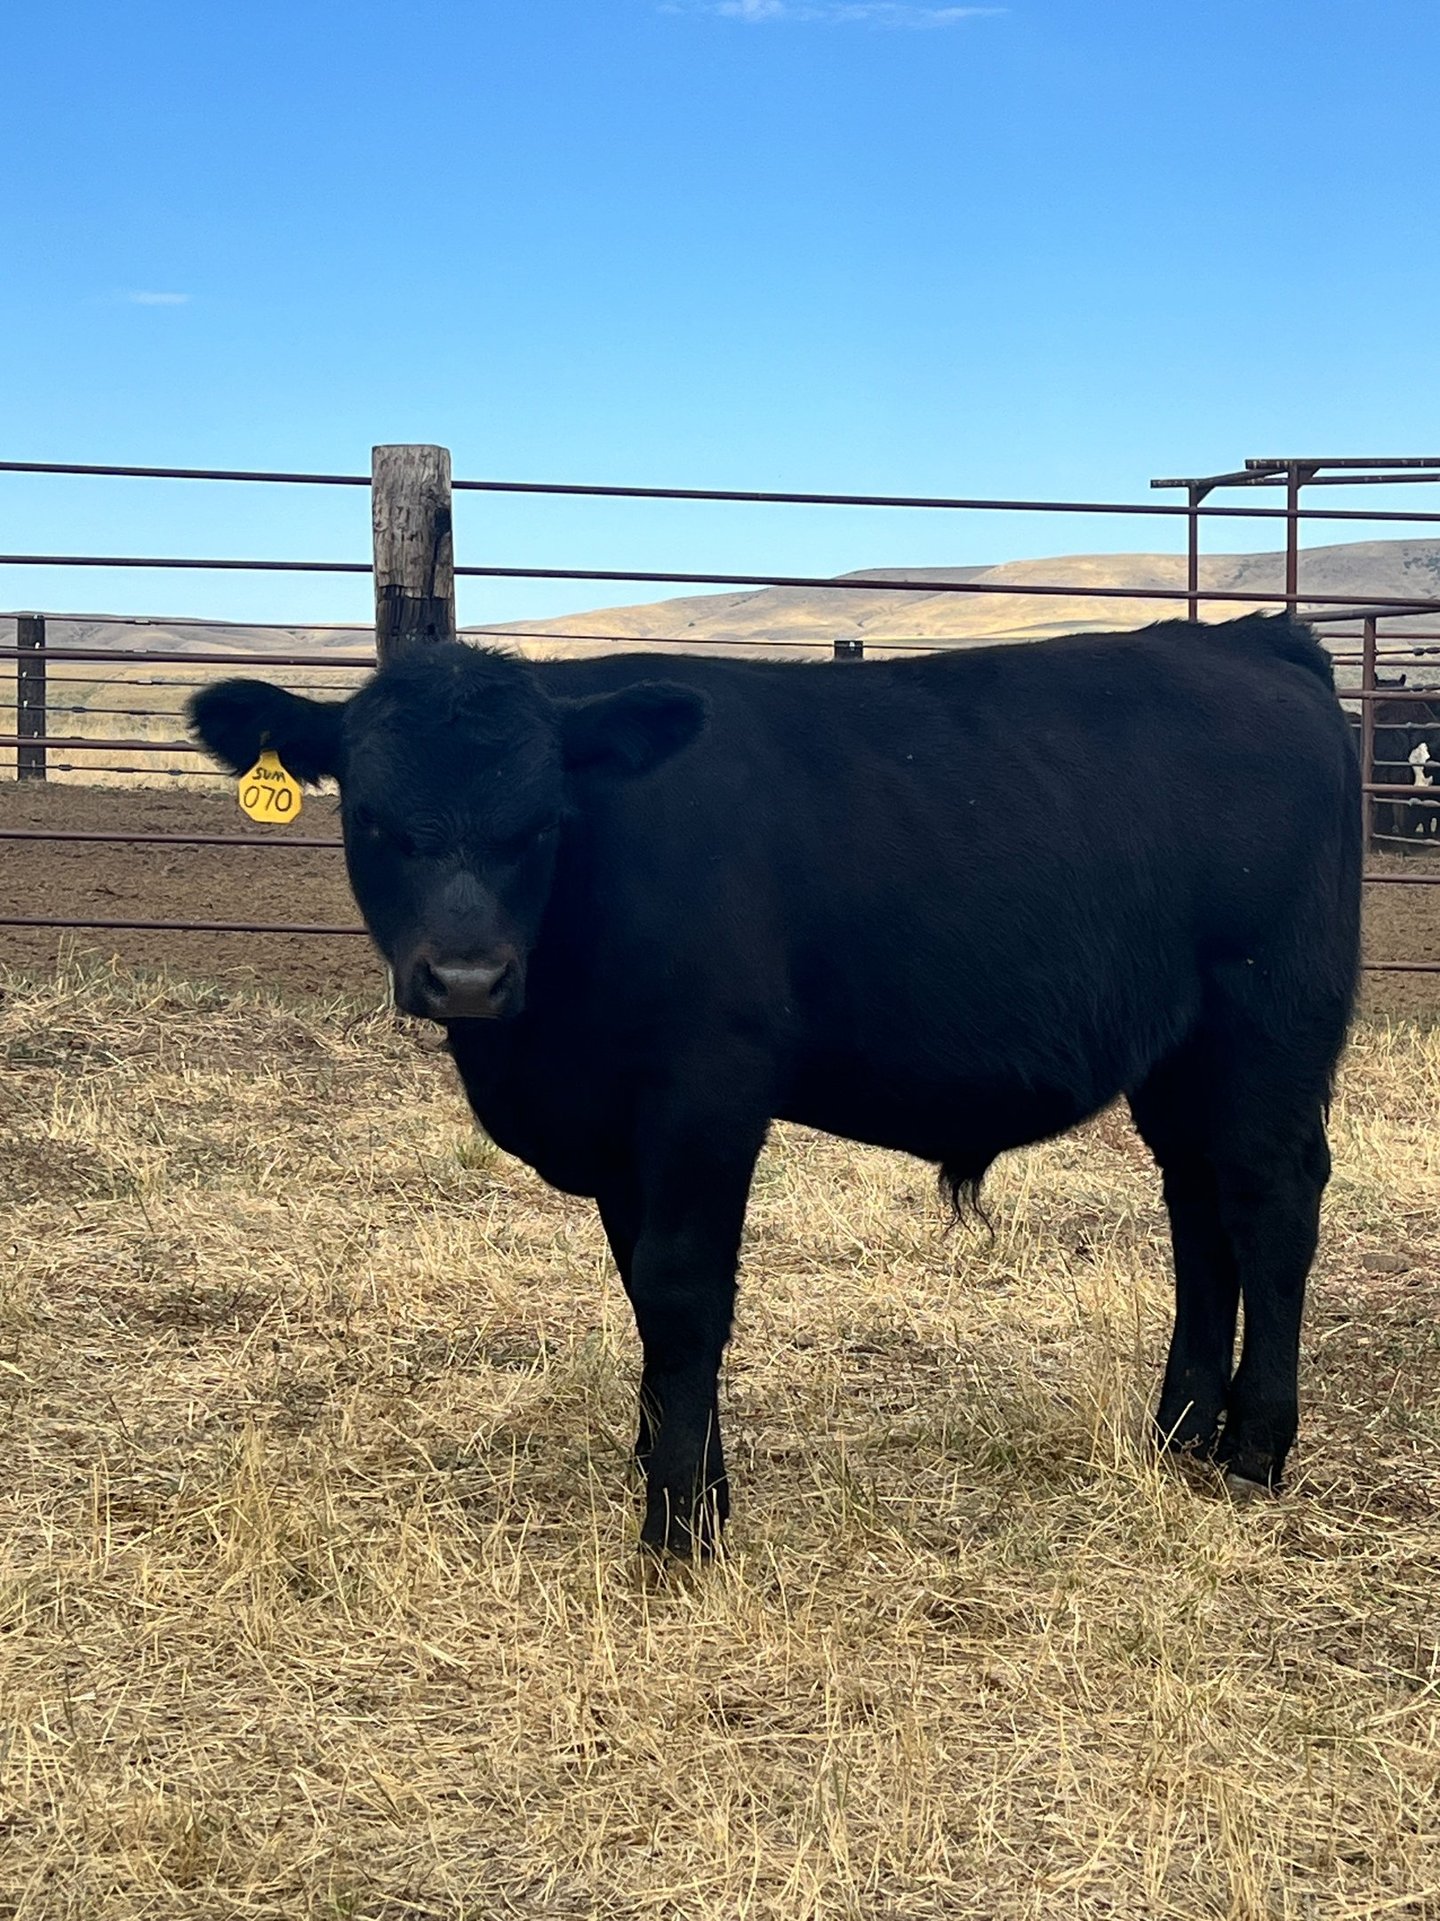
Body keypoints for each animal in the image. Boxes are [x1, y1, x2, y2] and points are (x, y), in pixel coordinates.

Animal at [189, 612, 1361, 1556]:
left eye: (544, 818)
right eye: (372, 818)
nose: (469, 978)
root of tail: (1246, 640)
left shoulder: (705, 1095)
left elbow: (683, 1293)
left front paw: (678, 1528)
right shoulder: (620, 1131)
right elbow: (644, 1295)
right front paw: (681, 1470)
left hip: (1268, 1021)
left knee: (1272, 1203)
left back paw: (1255, 1450)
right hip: (1181, 1057)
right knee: (1200, 1212)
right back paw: (1179, 1435)